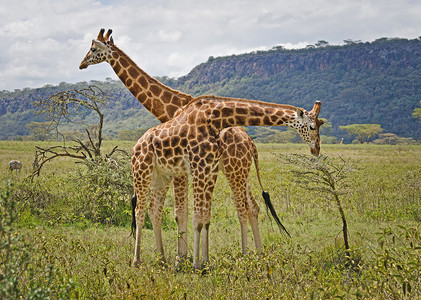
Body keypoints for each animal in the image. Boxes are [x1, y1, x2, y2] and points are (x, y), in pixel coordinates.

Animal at [79, 28, 282, 258]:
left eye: (93, 48)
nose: (82, 64)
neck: (171, 107)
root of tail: (251, 144)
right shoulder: (182, 168)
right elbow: (183, 212)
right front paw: (184, 256)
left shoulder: (181, 169)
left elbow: (180, 213)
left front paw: (181, 257)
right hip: (242, 171)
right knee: (254, 207)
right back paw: (259, 254)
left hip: (233, 169)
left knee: (244, 209)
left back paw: (245, 254)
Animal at [133, 96, 324, 270]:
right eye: (312, 126)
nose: (316, 149)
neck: (216, 119)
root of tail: (137, 144)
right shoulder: (198, 168)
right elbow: (196, 219)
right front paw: (195, 264)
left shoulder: (208, 170)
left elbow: (204, 219)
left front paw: (204, 263)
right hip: (141, 171)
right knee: (139, 212)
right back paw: (137, 261)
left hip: (161, 177)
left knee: (154, 211)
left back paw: (162, 261)